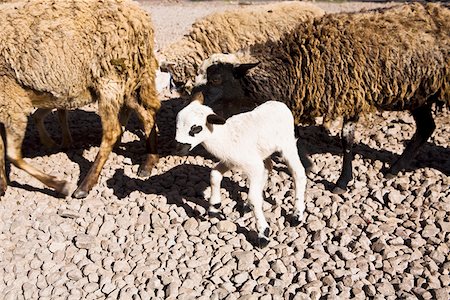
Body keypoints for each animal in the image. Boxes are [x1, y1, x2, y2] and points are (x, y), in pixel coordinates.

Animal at [174, 94, 308, 246]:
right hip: (263, 151)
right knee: (267, 168)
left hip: (287, 144)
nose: (178, 148)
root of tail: (281, 105)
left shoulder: (251, 164)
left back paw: (297, 215)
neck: (225, 137)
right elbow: (214, 175)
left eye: (196, 128)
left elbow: (254, 199)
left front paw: (263, 233)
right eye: (176, 126)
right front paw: (214, 207)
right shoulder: (230, 161)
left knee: (298, 173)